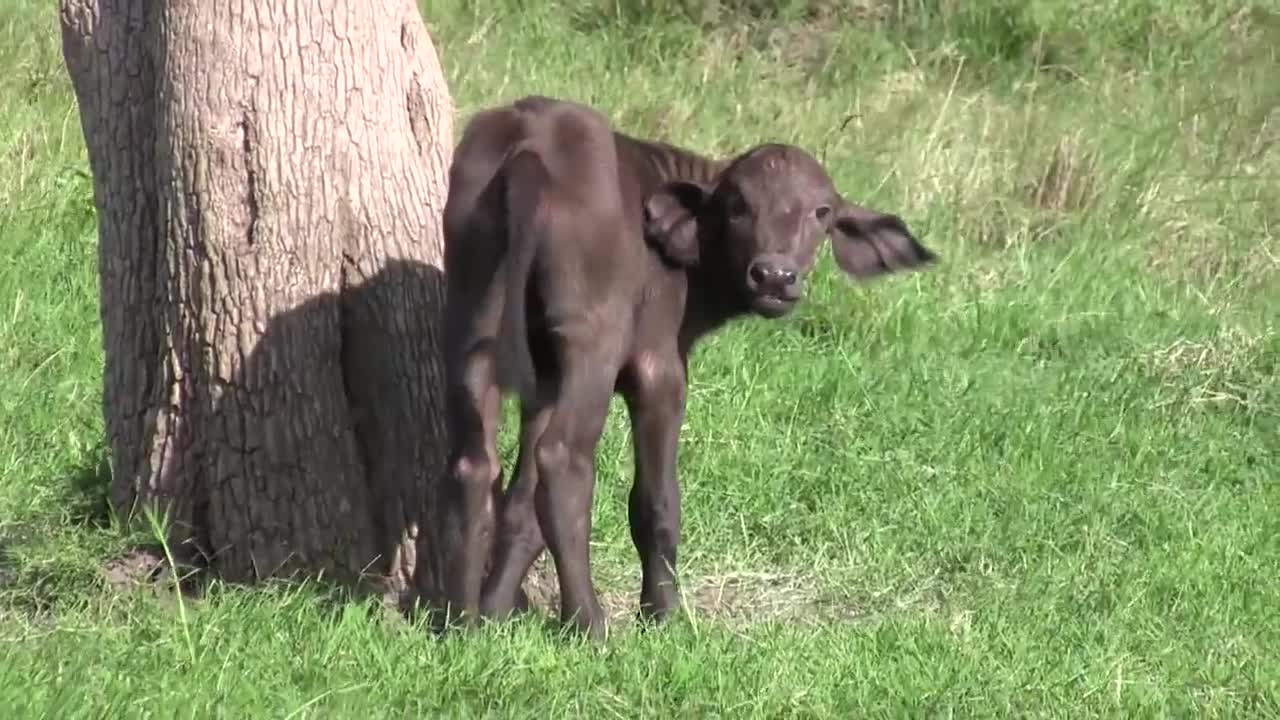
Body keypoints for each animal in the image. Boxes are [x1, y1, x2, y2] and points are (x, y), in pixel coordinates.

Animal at [435, 95, 936, 638]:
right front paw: (663, 614)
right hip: (592, 341)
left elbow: (521, 504)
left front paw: (497, 608)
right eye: (738, 205)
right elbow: (655, 501)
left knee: (476, 462)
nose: (775, 276)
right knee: (563, 459)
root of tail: (531, 147)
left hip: (473, 316)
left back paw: (460, 621)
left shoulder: (544, 375)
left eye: (821, 212)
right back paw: (590, 624)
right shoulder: (660, 370)